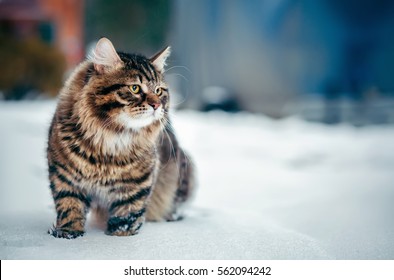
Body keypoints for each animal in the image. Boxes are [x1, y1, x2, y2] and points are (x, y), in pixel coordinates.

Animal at [47, 37, 195, 238]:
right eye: (135, 88)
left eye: (158, 91)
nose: (156, 105)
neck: (111, 138)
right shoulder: (65, 176)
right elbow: (69, 207)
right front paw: (68, 234)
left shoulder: (135, 185)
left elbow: (126, 216)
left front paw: (120, 237)